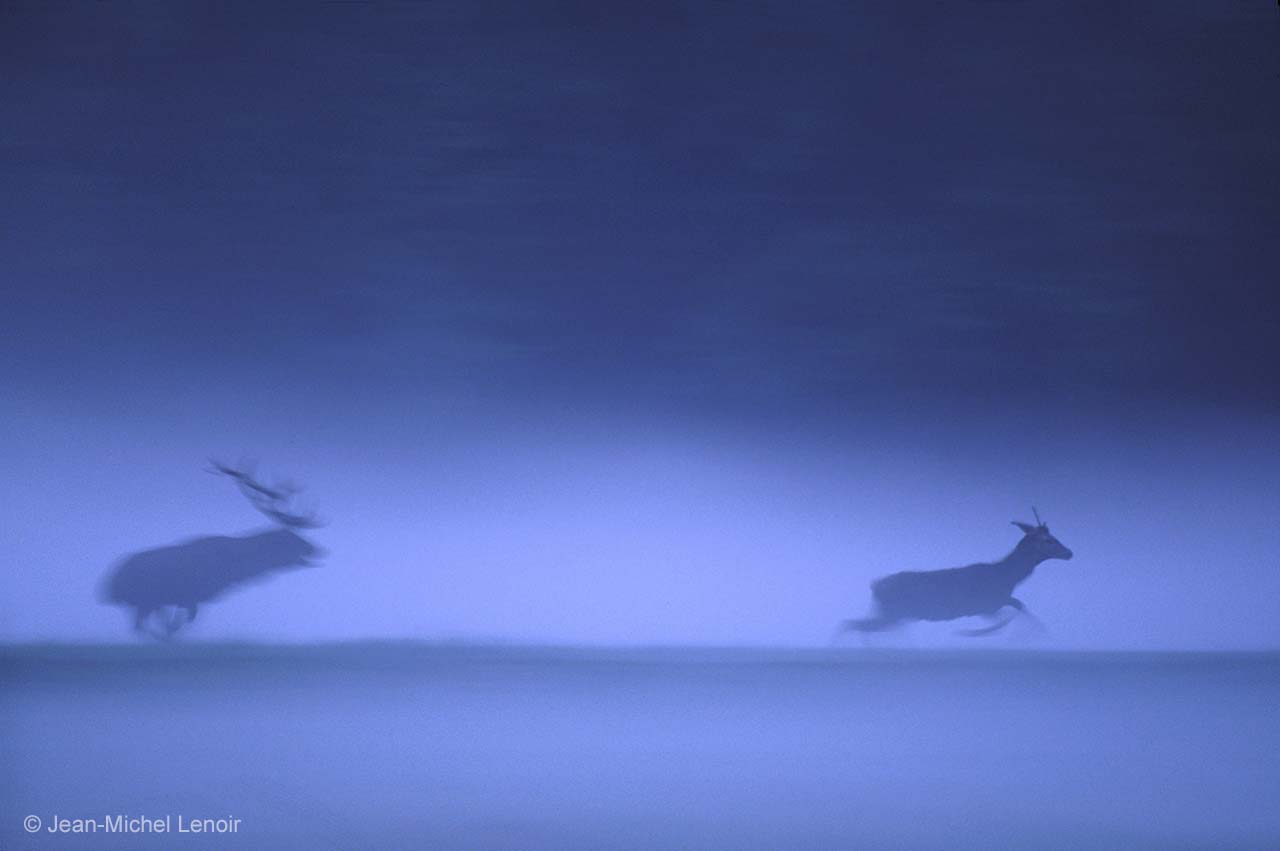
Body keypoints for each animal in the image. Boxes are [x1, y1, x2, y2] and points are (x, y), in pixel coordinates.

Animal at [99, 462, 324, 639]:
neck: (237, 569)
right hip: (143, 599)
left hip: (148, 602)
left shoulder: (185, 600)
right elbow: (175, 626)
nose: (318, 549)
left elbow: (176, 624)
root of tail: (107, 584)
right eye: (289, 538)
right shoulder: (189, 596)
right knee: (140, 626)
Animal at [837, 509, 1073, 639]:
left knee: (855, 625)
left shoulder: (994, 603)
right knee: (852, 625)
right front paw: (973, 633)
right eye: (1048, 540)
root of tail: (874, 585)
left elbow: (1020, 606)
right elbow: (1014, 610)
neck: (1008, 576)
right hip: (892, 613)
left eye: (1053, 537)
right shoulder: (986, 604)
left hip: (891, 614)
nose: (1069, 552)